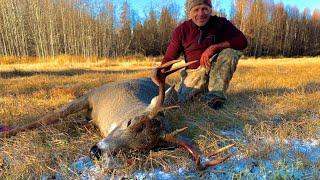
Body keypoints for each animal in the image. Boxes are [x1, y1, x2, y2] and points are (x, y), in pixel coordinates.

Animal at [0, 60, 235, 170]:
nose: (95, 151)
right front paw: (5, 132)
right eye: (130, 121)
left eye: (136, 150)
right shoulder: (90, 96)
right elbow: (46, 118)